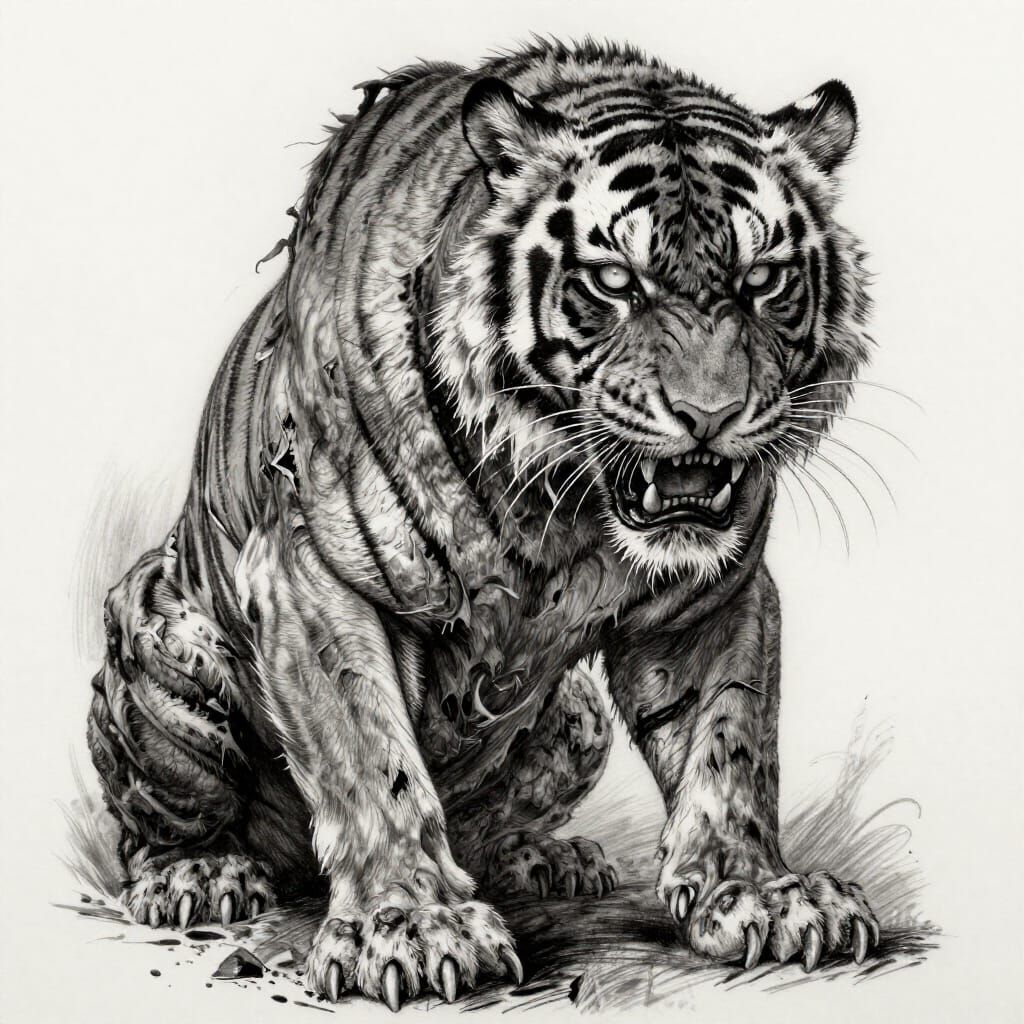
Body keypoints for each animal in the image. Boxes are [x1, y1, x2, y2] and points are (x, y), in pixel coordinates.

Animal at [87, 38, 879, 1010]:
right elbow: (369, 757)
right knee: (156, 824)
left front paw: (761, 893)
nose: (711, 414)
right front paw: (413, 925)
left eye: (762, 279)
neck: (564, 510)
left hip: (577, 719)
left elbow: (730, 743)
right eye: (614, 281)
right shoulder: (312, 575)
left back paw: (545, 859)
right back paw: (198, 875)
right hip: (165, 645)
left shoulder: (713, 598)